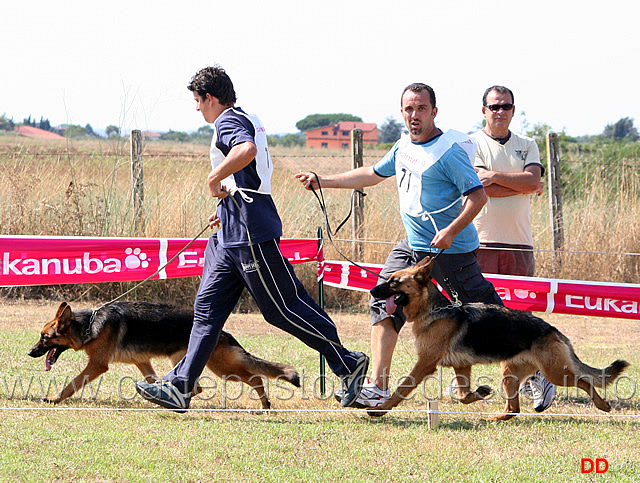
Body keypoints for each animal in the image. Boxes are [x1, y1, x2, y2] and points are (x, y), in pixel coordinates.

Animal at [27, 302, 300, 408]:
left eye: (44, 338)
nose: (30, 352)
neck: (89, 325)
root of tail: (222, 331)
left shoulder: (96, 365)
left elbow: (72, 384)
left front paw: (54, 398)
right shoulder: (142, 361)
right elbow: (152, 379)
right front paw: (157, 392)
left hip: (220, 367)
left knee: (255, 377)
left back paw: (265, 403)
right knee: (201, 386)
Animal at [368, 258, 628, 420]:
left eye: (394, 282)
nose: (371, 290)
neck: (434, 310)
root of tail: (553, 330)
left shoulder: (425, 364)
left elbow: (403, 387)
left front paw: (381, 409)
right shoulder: (462, 366)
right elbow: (463, 396)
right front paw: (480, 392)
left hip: (555, 372)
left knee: (584, 381)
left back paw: (602, 405)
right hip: (509, 374)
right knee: (514, 409)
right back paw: (493, 418)